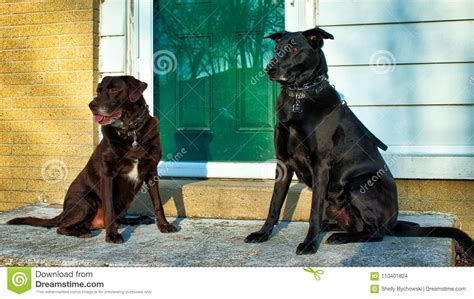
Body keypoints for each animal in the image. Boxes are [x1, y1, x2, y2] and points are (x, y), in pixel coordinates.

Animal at [6, 75, 178, 244]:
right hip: (86, 201)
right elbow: (109, 208)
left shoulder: (151, 171)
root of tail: (63, 211)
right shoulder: (107, 175)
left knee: (116, 219)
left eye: (114, 89)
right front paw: (111, 235)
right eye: (99, 90)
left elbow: (158, 203)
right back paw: (82, 231)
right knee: (61, 226)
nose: (91, 105)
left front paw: (164, 225)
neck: (131, 133)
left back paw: (138, 219)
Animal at [246, 27, 472, 258]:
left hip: (358, 184)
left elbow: (313, 212)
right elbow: (274, 204)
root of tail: (393, 221)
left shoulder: (320, 165)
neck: (299, 98)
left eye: (294, 48)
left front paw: (309, 244)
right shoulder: (283, 163)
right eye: (277, 49)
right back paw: (332, 228)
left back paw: (340, 236)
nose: (269, 68)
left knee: (376, 233)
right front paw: (262, 233)